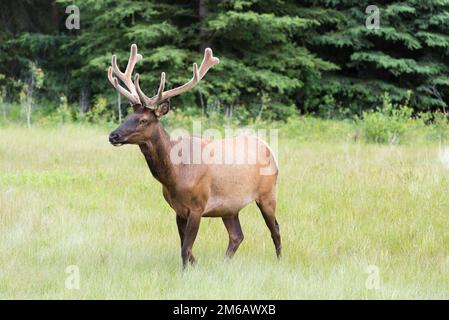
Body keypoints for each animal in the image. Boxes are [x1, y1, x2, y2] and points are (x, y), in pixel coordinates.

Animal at [107, 43, 280, 268]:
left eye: (143, 120)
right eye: (128, 116)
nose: (113, 135)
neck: (174, 175)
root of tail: (269, 149)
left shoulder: (198, 206)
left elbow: (185, 249)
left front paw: (187, 271)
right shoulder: (178, 210)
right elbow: (186, 248)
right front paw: (195, 267)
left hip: (267, 194)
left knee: (275, 229)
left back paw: (280, 260)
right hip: (229, 207)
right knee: (237, 236)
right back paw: (224, 264)